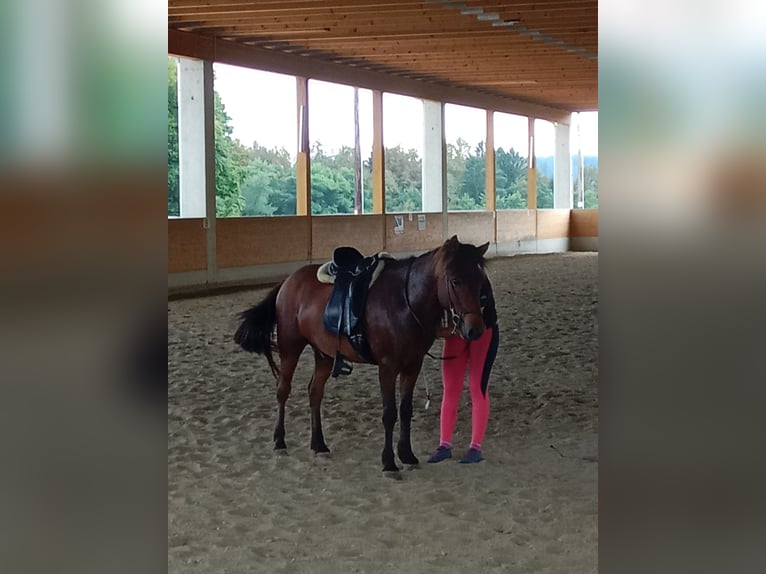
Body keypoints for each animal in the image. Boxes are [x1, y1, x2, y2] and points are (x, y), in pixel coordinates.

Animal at [234, 236, 488, 474]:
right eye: (455, 280)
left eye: (480, 282)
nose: (475, 330)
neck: (404, 302)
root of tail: (288, 281)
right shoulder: (387, 367)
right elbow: (389, 413)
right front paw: (389, 463)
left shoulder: (412, 366)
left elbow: (405, 411)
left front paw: (407, 455)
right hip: (290, 348)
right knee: (283, 390)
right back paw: (279, 441)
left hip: (324, 355)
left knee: (315, 392)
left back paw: (319, 444)